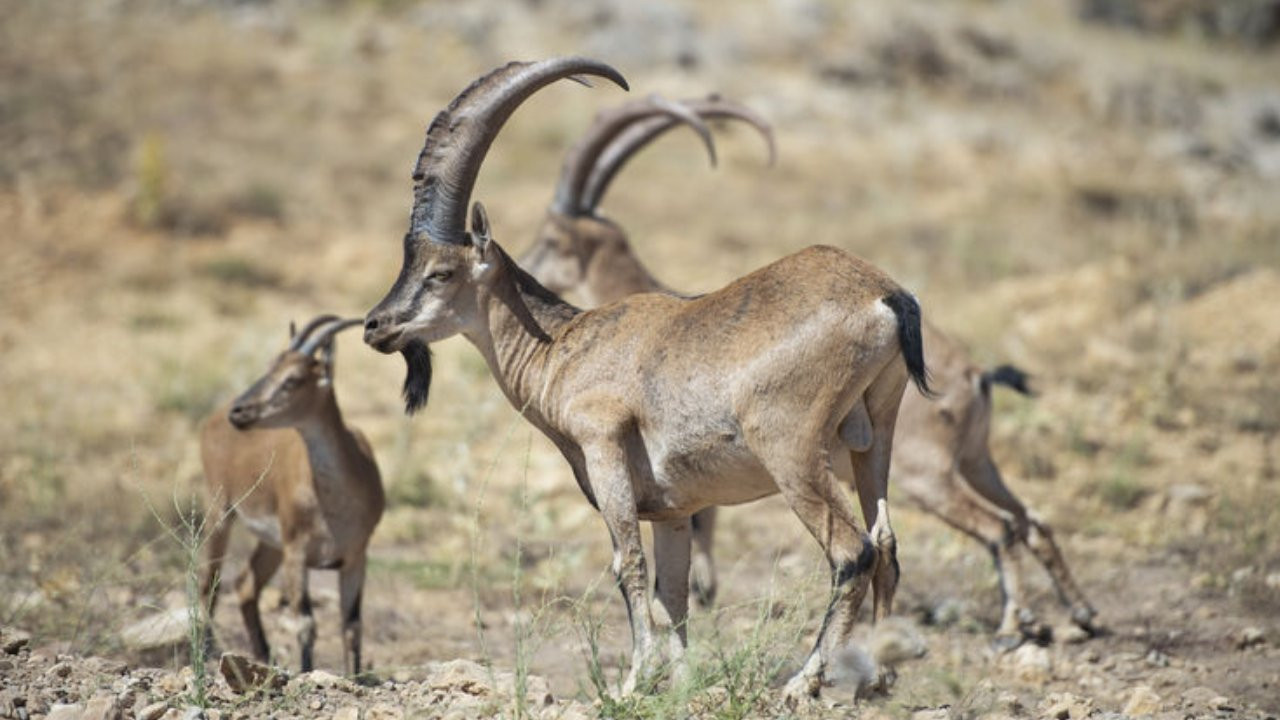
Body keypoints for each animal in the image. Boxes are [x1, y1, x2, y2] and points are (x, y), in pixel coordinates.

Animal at [197, 313, 381, 671]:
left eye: (293, 379)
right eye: (271, 366)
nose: (240, 411)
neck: (334, 504)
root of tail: (211, 421)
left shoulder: (356, 557)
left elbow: (352, 626)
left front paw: (354, 677)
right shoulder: (297, 552)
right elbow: (306, 624)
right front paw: (307, 671)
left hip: (271, 544)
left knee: (245, 584)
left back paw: (263, 656)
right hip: (220, 512)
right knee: (210, 581)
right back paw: (205, 652)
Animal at [360, 58, 931, 696]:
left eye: (440, 272)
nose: (376, 325)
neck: (562, 347)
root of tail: (885, 295)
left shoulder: (604, 447)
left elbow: (628, 564)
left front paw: (632, 681)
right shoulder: (674, 508)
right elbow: (671, 593)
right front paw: (679, 683)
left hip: (792, 450)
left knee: (852, 551)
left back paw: (802, 683)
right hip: (873, 434)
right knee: (887, 542)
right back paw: (876, 679)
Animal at [514, 96, 1095, 645]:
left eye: (551, 238)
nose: (526, 269)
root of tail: (976, 375)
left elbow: (699, 520)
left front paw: (704, 589)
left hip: (922, 474)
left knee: (998, 528)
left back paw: (1012, 625)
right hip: (974, 462)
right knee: (1031, 521)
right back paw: (1078, 615)